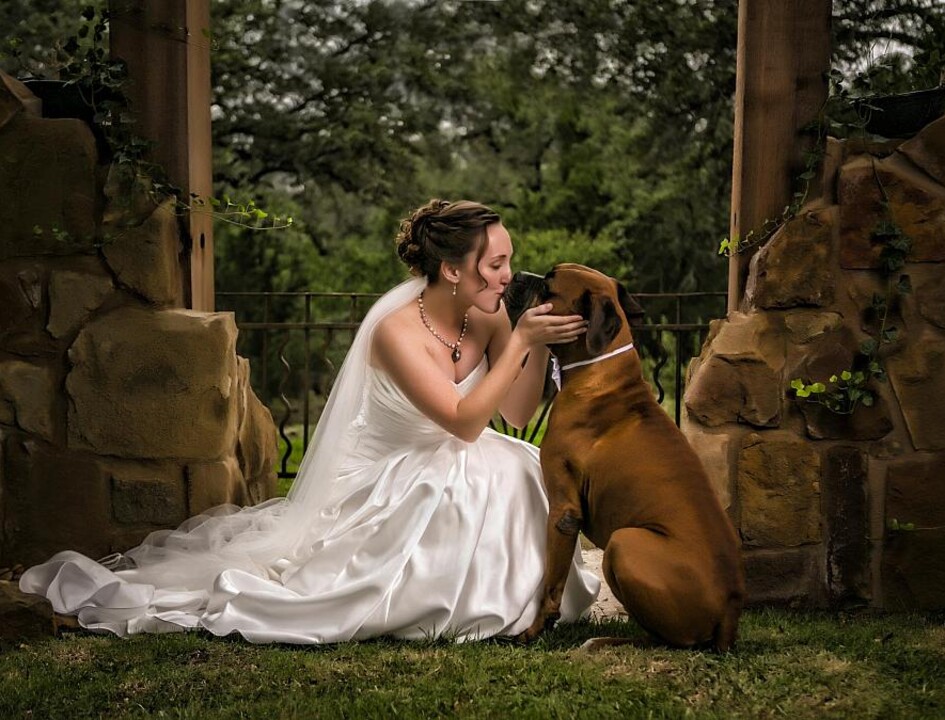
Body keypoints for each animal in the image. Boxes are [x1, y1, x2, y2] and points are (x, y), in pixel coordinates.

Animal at [504, 263, 744, 650]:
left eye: (549, 288)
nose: (518, 274)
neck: (597, 368)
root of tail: (731, 611)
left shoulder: (563, 512)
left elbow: (551, 584)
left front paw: (534, 630)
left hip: (623, 542)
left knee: (672, 640)